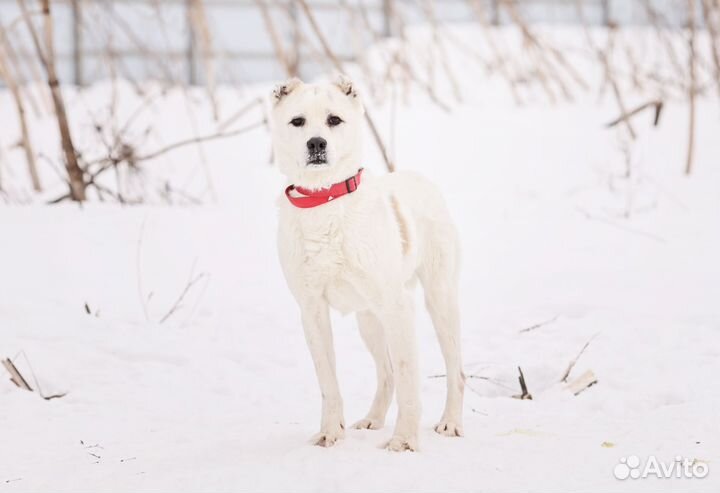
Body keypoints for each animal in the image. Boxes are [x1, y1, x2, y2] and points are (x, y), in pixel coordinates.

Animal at [272, 74, 466, 450]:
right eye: (297, 121)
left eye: (334, 120)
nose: (316, 143)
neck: (325, 201)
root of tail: (418, 178)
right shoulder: (312, 311)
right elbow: (328, 382)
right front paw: (330, 433)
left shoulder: (397, 304)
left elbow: (407, 375)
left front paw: (404, 439)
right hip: (369, 320)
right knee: (385, 373)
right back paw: (373, 419)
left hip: (440, 301)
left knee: (455, 370)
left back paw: (450, 422)